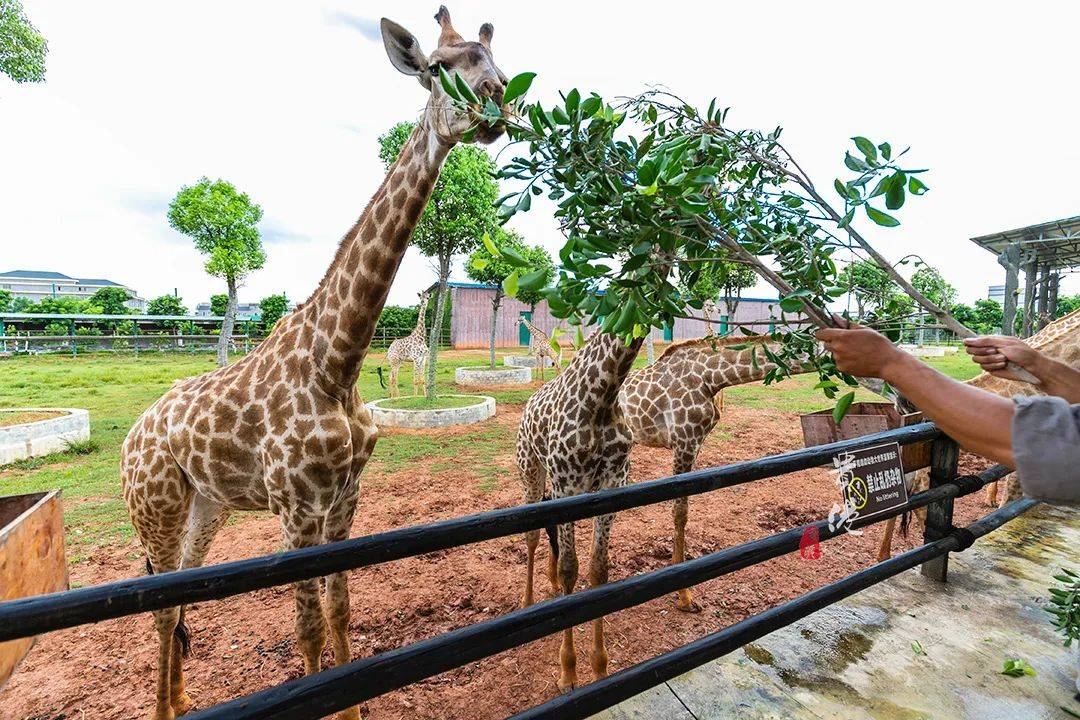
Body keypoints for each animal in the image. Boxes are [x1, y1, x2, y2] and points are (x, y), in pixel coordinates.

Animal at [120, 8, 507, 716]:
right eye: (439, 68)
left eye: (498, 60)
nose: (497, 102)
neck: (338, 362)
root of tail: (133, 435)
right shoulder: (296, 507)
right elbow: (306, 627)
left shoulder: (345, 500)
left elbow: (341, 610)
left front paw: (353, 705)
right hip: (153, 505)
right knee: (160, 608)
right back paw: (165, 706)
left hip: (205, 505)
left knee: (181, 594)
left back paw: (182, 701)